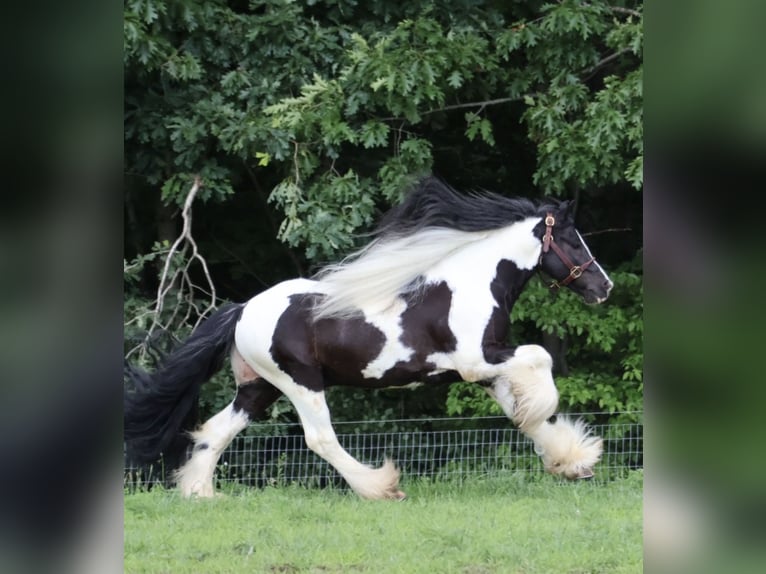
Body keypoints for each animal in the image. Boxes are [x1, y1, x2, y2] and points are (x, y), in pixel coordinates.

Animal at [124, 176, 613, 499]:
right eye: (573, 239)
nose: (603, 287)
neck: (471, 285)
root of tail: (243, 309)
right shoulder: (479, 361)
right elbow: (540, 360)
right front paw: (564, 440)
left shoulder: (486, 372)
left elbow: (522, 416)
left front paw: (574, 463)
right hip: (300, 382)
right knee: (320, 439)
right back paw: (381, 487)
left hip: (258, 388)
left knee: (216, 430)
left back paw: (199, 493)